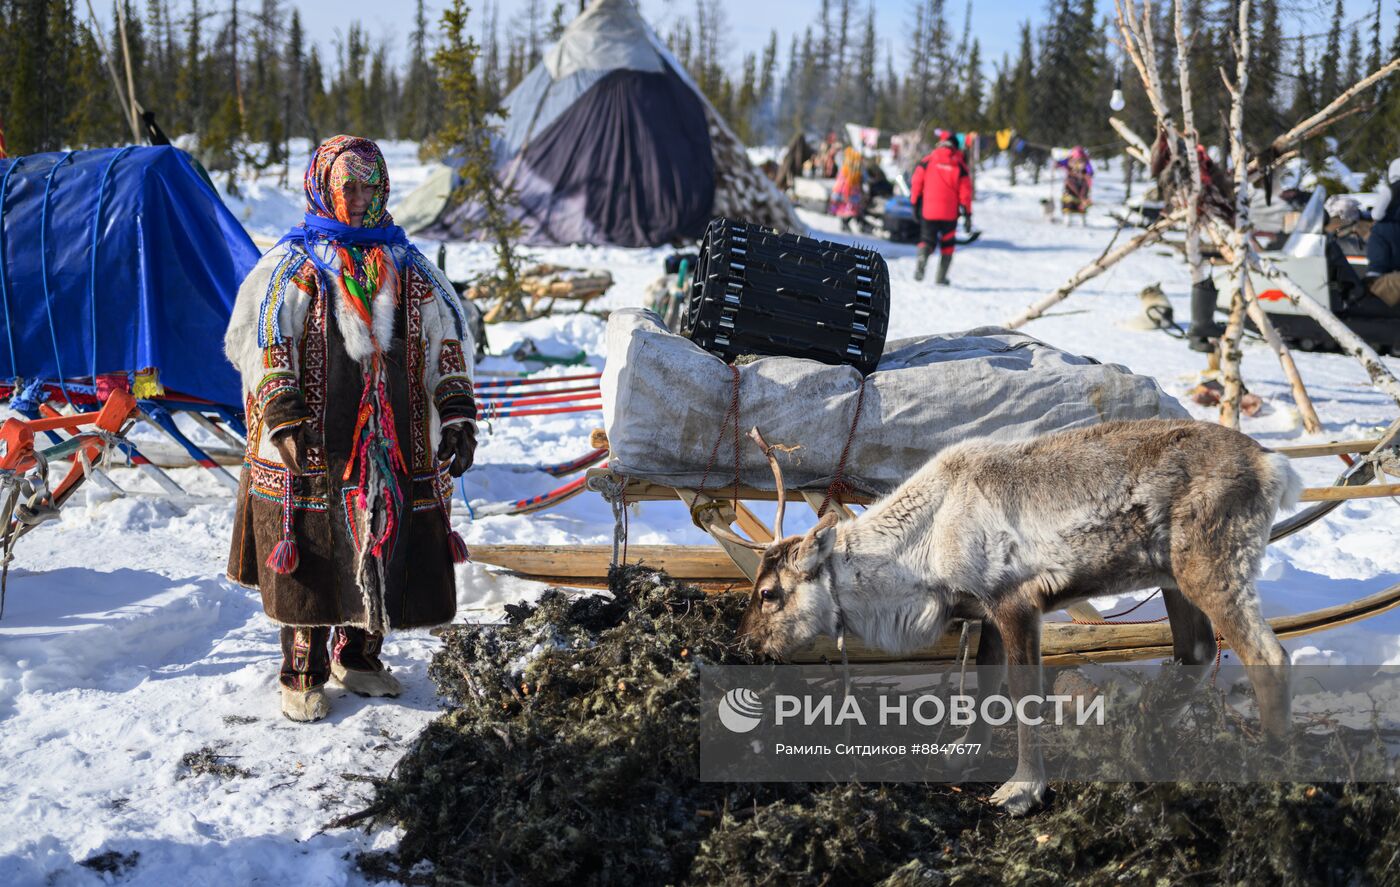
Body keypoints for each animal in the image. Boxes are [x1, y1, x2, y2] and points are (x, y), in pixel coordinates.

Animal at [728, 416, 1304, 811]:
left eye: (769, 594)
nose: (745, 644)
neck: (923, 551)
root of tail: (1274, 466)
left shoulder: (1017, 602)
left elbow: (1024, 696)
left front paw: (1022, 788)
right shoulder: (984, 611)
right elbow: (985, 686)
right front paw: (963, 752)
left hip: (1211, 565)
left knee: (1268, 657)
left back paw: (1272, 765)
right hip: (1172, 577)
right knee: (1197, 651)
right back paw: (1139, 736)